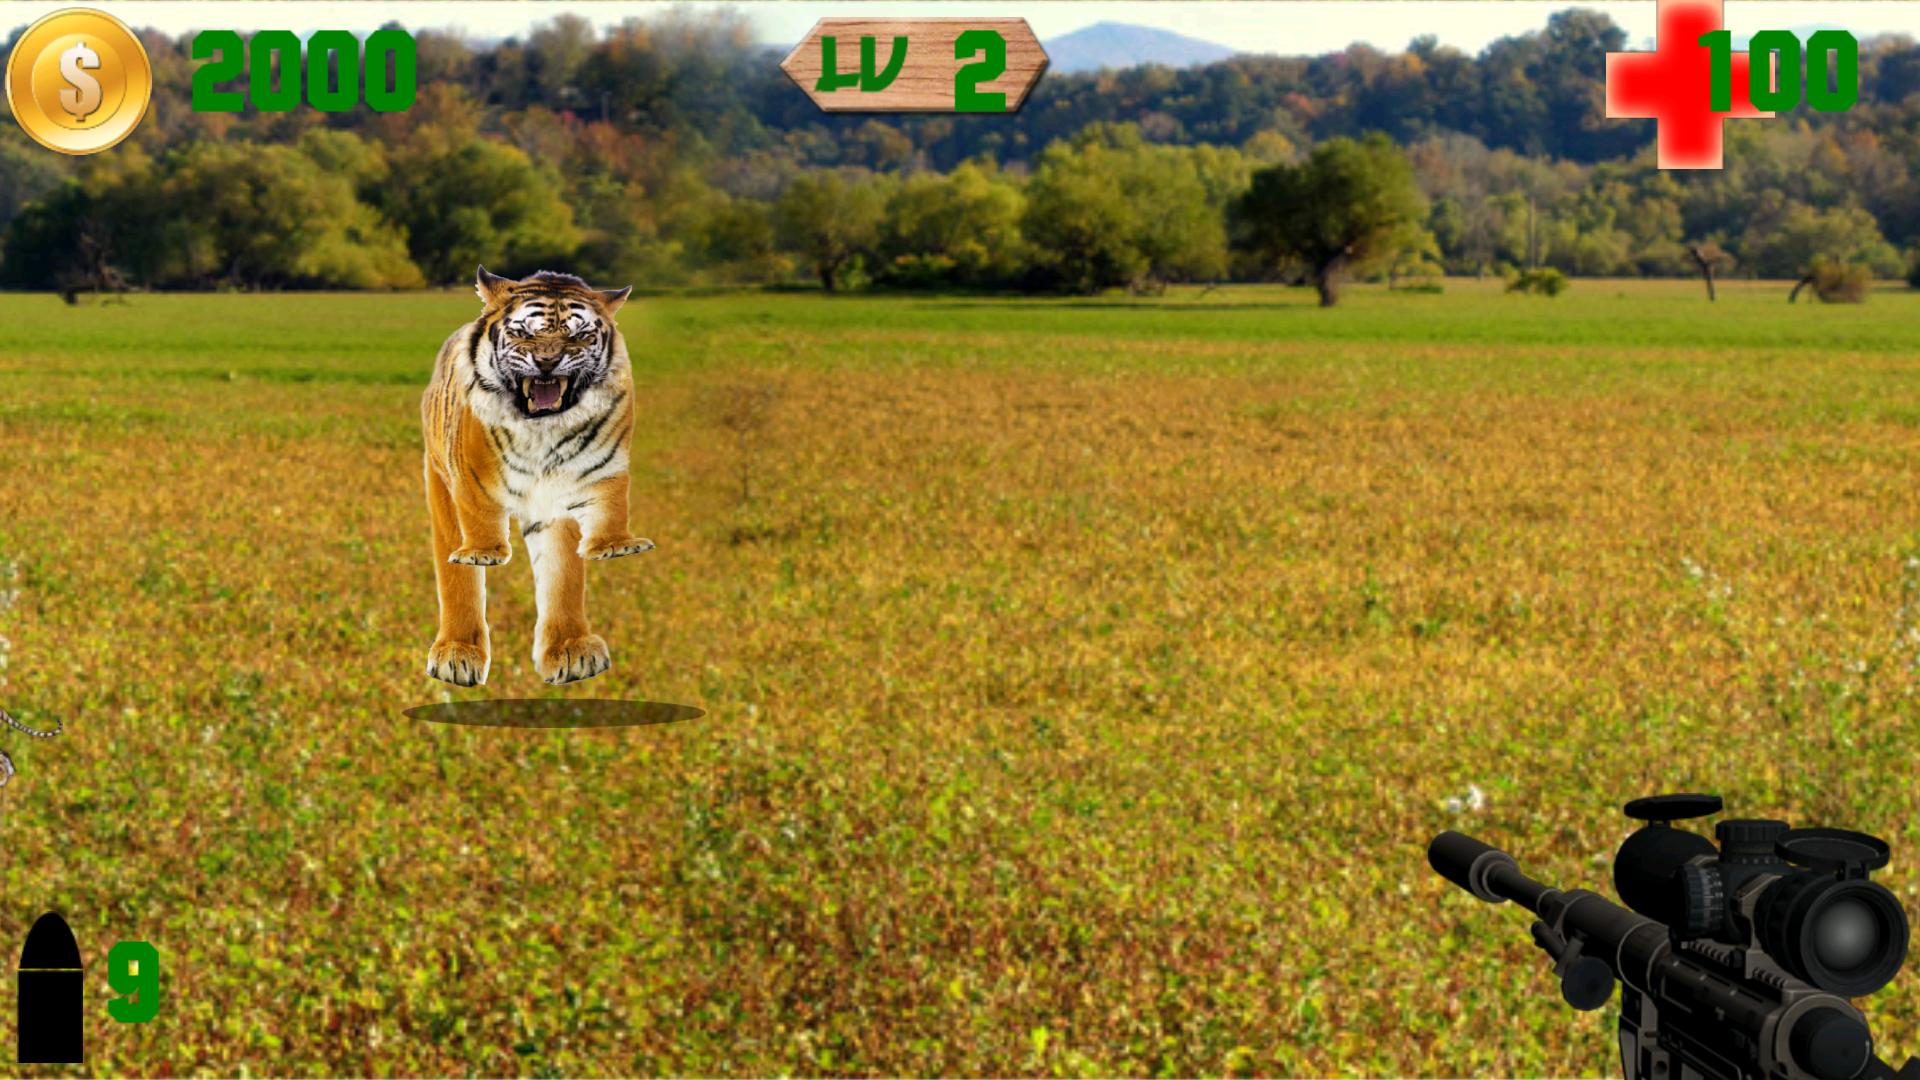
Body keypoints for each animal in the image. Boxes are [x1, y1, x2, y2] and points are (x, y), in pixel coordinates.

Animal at [420, 267, 654, 687]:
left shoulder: (580, 487)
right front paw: (484, 553)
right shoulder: (470, 481)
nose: (547, 362)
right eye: (522, 333)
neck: (541, 434)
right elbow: (475, 537)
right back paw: (456, 654)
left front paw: (572, 650)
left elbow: (565, 574)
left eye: (579, 336)